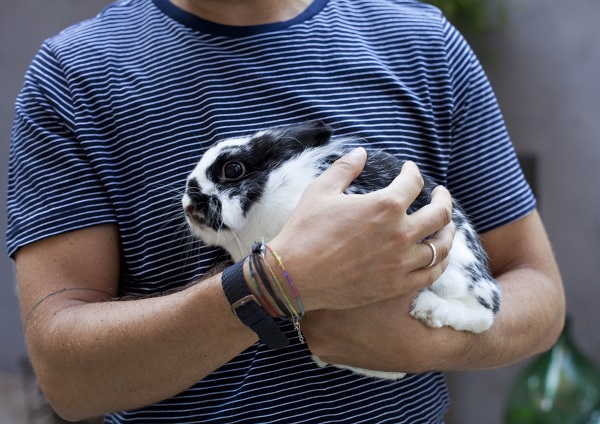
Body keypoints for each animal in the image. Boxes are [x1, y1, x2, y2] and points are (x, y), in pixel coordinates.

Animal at [180, 120, 500, 380]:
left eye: (232, 169)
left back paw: (429, 309)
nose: (189, 203)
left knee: (484, 315)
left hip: (456, 272)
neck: (272, 190)